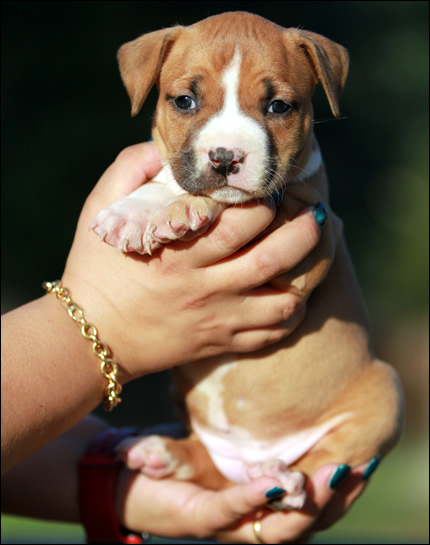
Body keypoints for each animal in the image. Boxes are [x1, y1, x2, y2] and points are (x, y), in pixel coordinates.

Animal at [90, 10, 404, 508]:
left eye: (278, 107)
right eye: (185, 101)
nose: (225, 157)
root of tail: (247, 458)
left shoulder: (308, 232)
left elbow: (225, 199)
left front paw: (173, 208)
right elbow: (167, 178)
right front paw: (137, 207)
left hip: (386, 392)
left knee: (325, 460)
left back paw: (284, 478)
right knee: (210, 468)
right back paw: (164, 452)